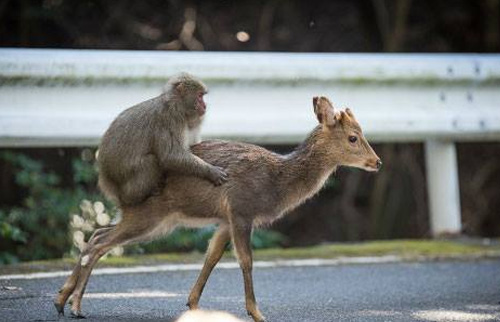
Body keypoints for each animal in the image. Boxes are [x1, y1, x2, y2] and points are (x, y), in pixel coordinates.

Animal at [53, 95, 378, 322]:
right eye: (353, 137)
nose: (377, 161)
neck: (277, 182)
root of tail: (115, 186)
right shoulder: (241, 209)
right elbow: (245, 260)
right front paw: (257, 313)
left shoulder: (224, 220)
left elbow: (211, 257)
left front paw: (193, 304)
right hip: (150, 215)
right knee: (100, 242)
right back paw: (74, 305)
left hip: (154, 220)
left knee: (96, 235)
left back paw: (63, 300)